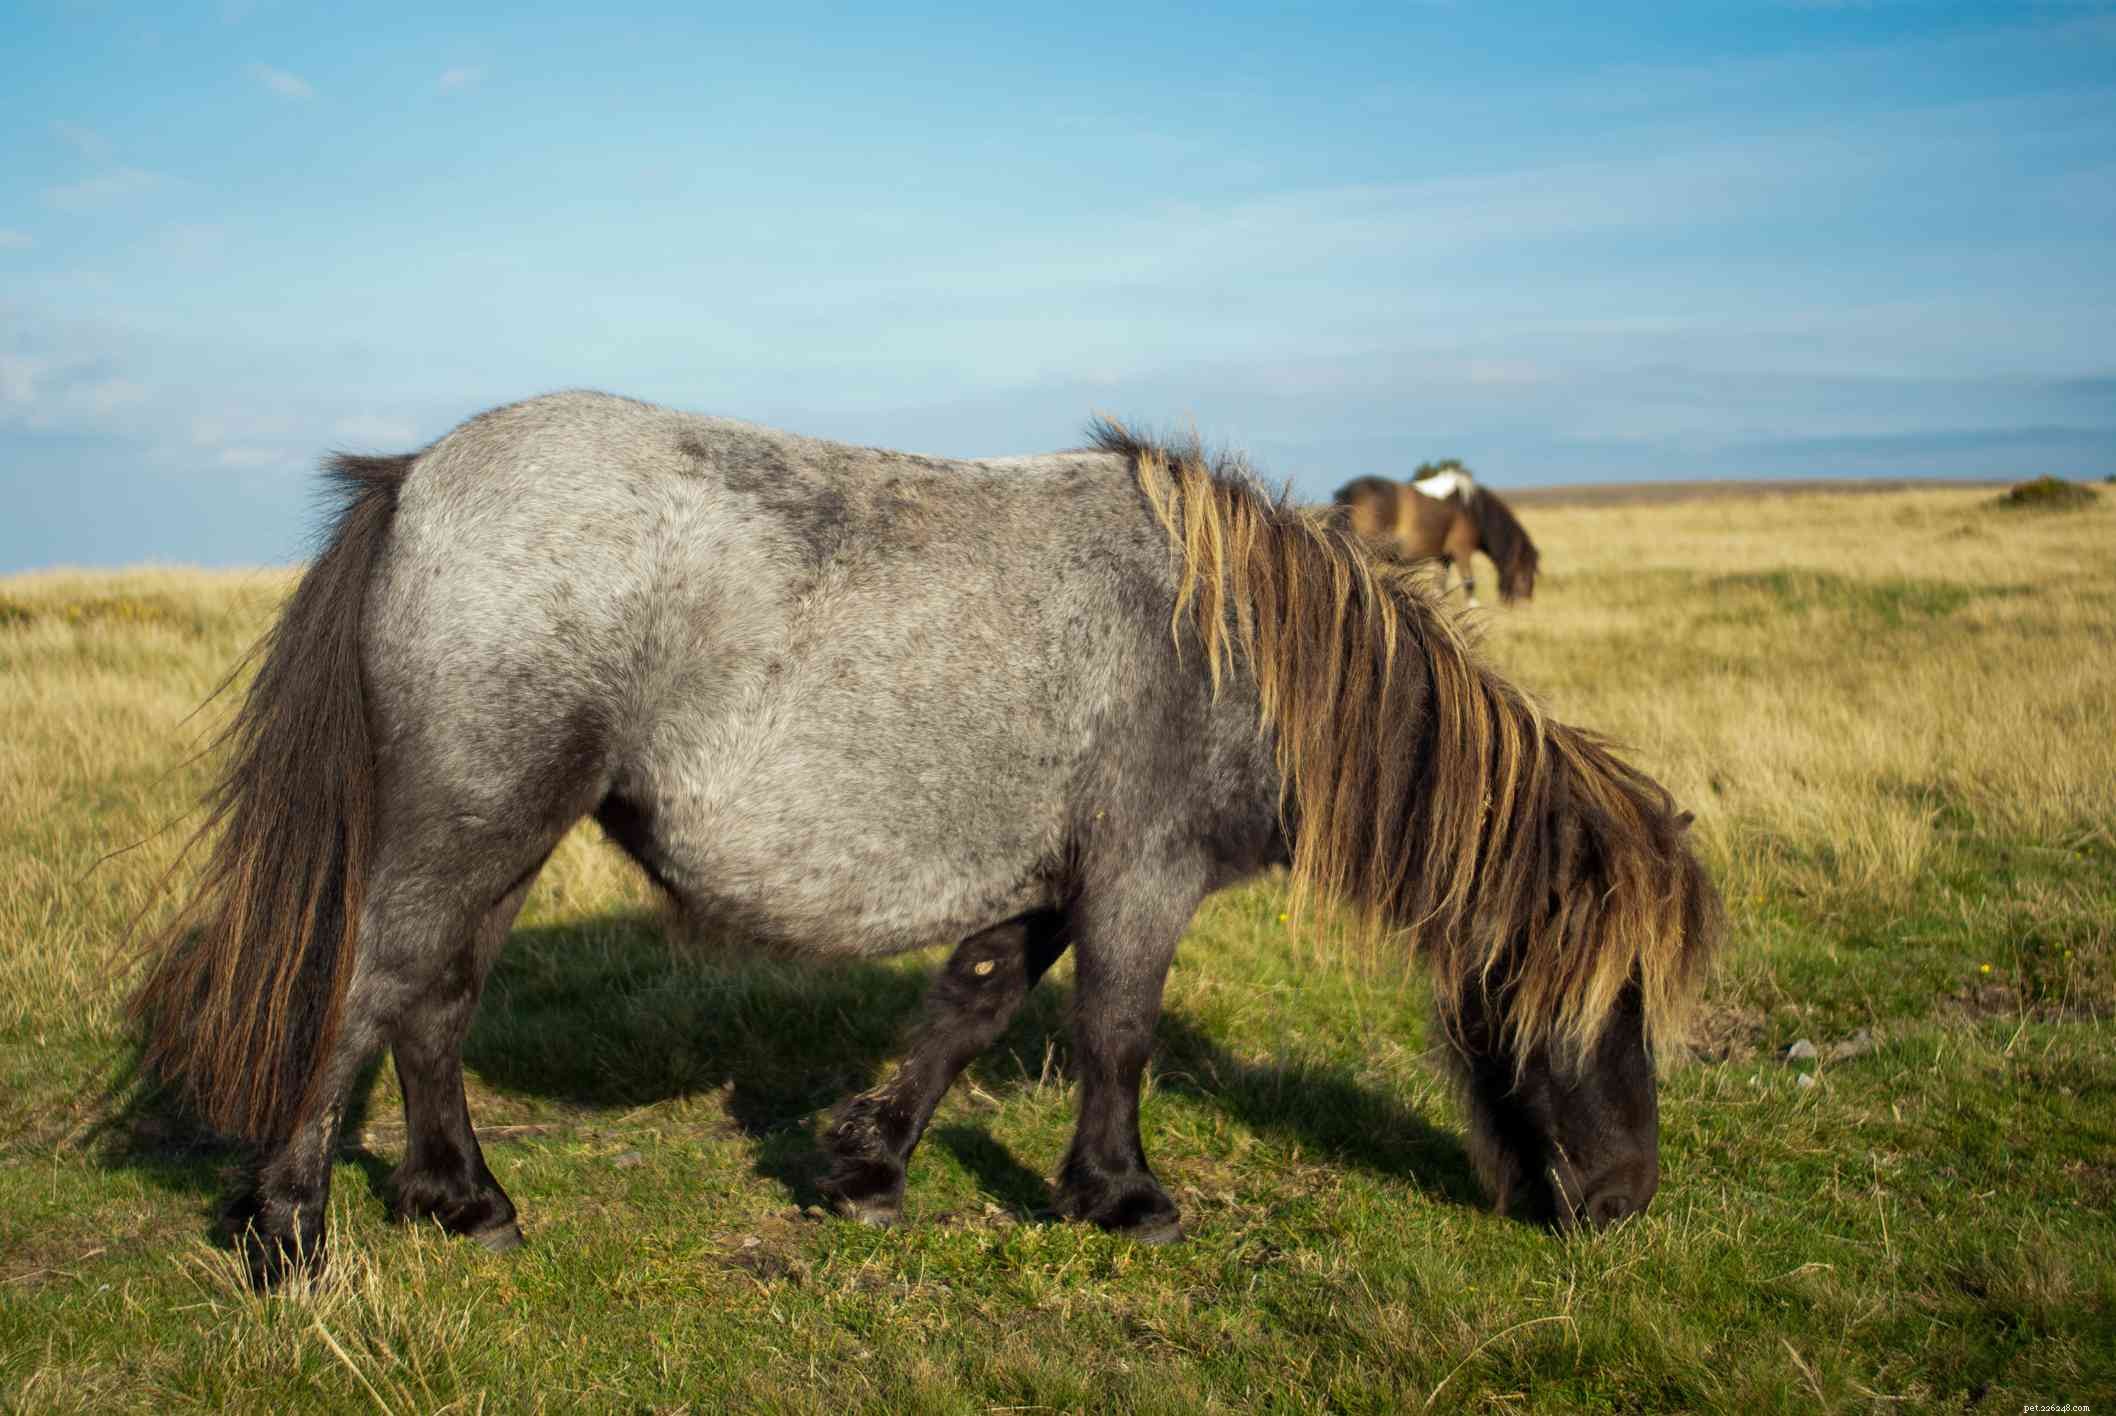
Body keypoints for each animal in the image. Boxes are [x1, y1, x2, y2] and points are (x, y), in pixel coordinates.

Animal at [1333, 468, 1540, 605]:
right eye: (1524, 572)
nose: (1526, 603)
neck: (1471, 509)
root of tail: (1348, 492)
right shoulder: (1462, 552)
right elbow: (1470, 584)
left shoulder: (1443, 559)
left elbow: (1440, 590)